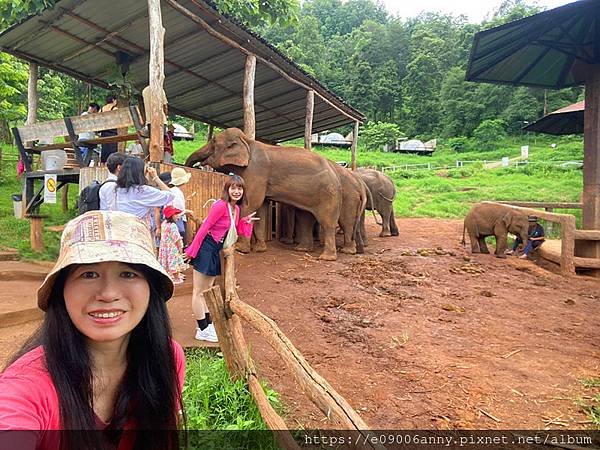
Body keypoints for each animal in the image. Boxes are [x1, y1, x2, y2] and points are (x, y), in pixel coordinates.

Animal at [183, 128, 342, 260]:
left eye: (214, 142)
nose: (194, 166)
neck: (247, 142)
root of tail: (336, 174)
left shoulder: (256, 171)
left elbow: (251, 204)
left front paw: (240, 249)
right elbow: (260, 209)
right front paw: (260, 249)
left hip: (328, 194)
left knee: (327, 222)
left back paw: (326, 258)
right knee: (305, 219)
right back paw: (302, 250)